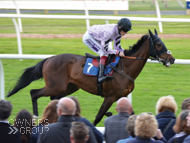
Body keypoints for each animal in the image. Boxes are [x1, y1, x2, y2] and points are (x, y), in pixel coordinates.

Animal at [6, 29, 175, 125]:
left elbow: (132, 115)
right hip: (54, 85)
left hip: (70, 87)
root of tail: (49, 59)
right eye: (159, 44)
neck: (124, 67)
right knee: (34, 92)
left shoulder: (122, 96)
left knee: (54, 98)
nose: (172, 59)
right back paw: (35, 116)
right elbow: (98, 117)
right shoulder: (109, 97)